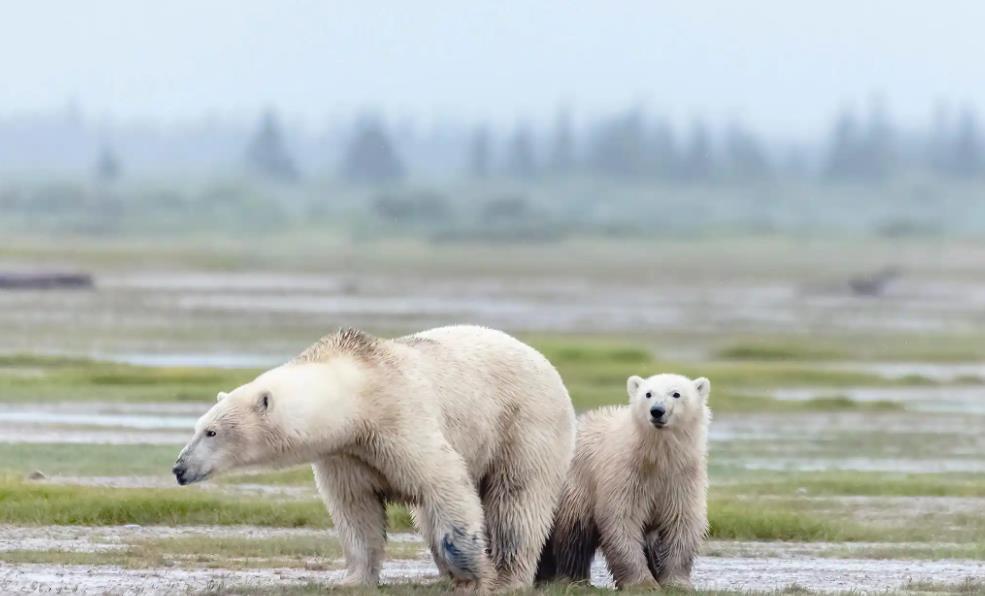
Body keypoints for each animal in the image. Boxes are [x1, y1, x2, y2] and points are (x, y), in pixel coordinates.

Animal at [172, 326, 572, 592]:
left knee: (517, 499)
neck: (360, 392)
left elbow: (442, 479)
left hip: (523, 425)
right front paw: (350, 580)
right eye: (198, 426)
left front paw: (475, 572)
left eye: (211, 432)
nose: (179, 468)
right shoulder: (345, 453)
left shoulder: (400, 417)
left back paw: (508, 577)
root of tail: (545, 362)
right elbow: (355, 510)